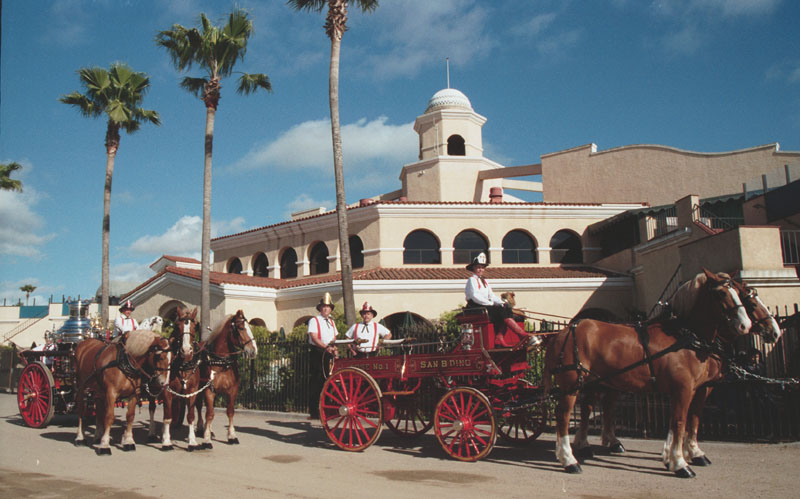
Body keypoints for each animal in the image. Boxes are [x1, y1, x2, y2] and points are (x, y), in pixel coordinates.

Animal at [147, 306, 205, 452]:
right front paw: (167, 441)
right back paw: (152, 433)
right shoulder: (167, 391)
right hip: (151, 389)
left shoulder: (192, 391)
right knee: (152, 408)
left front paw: (192, 441)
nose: (186, 350)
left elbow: (190, 416)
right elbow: (167, 417)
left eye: (195, 326)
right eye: (178, 326)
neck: (183, 365)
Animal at [194, 310, 256, 448]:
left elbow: (230, 411)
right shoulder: (209, 390)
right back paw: (201, 428)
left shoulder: (233, 390)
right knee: (200, 406)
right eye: (241, 328)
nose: (254, 351)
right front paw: (206, 439)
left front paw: (232, 435)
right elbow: (209, 414)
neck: (221, 361)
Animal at [544, 272, 752, 478]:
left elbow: (689, 419)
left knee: (590, 407)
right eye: (721, 294)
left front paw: (681, 455)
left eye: (738, 292)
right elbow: (680, 422)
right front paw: (680, 462)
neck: (684, 337)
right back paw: (569, 459)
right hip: (571, 385)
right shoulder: (684, 388)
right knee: (563, 415)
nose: (746, 325)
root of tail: (563, 332)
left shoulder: (698, 388)